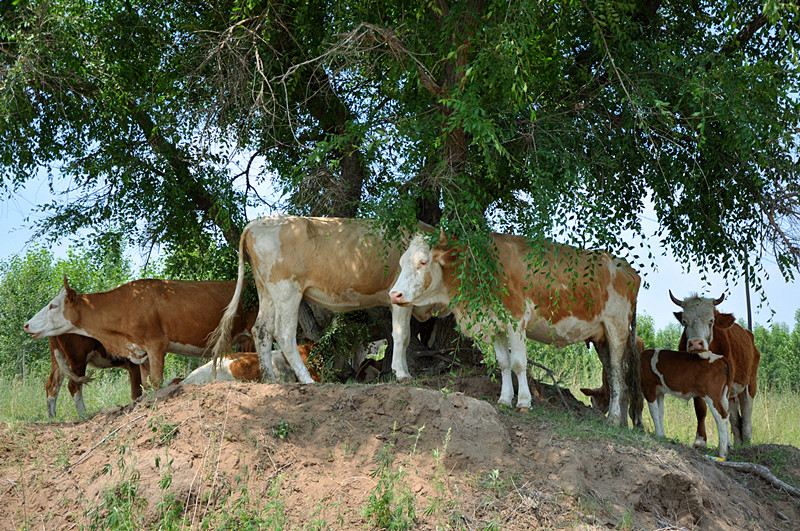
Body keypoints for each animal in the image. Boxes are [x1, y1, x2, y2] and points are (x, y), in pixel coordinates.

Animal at [24, 278, 256, 386]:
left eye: (53, 305)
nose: (26, 325)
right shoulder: (141, 352)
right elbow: (146, 384)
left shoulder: (156, 344)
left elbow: (157, 381)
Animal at [208, 215, 438, 386]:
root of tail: (256, 223)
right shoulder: (400, 297)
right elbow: (402, 335)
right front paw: (402, 374)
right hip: (286, 290)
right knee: (284, 333)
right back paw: (306, 379)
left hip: (266, 290)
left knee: (261, 330)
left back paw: (271, 379)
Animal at [390, 233, 640, 428]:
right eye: (400, 263)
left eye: (423, 262)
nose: (394, 294)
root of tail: (626, 267)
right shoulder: (495, 323)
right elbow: (503, 363)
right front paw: (504, 398)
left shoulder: (516, 320)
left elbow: (519, 363)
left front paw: (523, 402)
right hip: (601, 337)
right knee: (612, 373)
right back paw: (621, 421)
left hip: (617, 327)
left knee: (618, 372)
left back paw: (614, 419)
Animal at [668, 290, 764, 448]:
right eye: (684, 321)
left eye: (711, 320)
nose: (696, 343)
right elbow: (701, 409)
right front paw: (700, 440)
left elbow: (724, 410)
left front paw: (726, 443)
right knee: (734, 417)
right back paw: (737, 442)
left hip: (750, 383)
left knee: (746, 413)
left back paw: (746, 442)